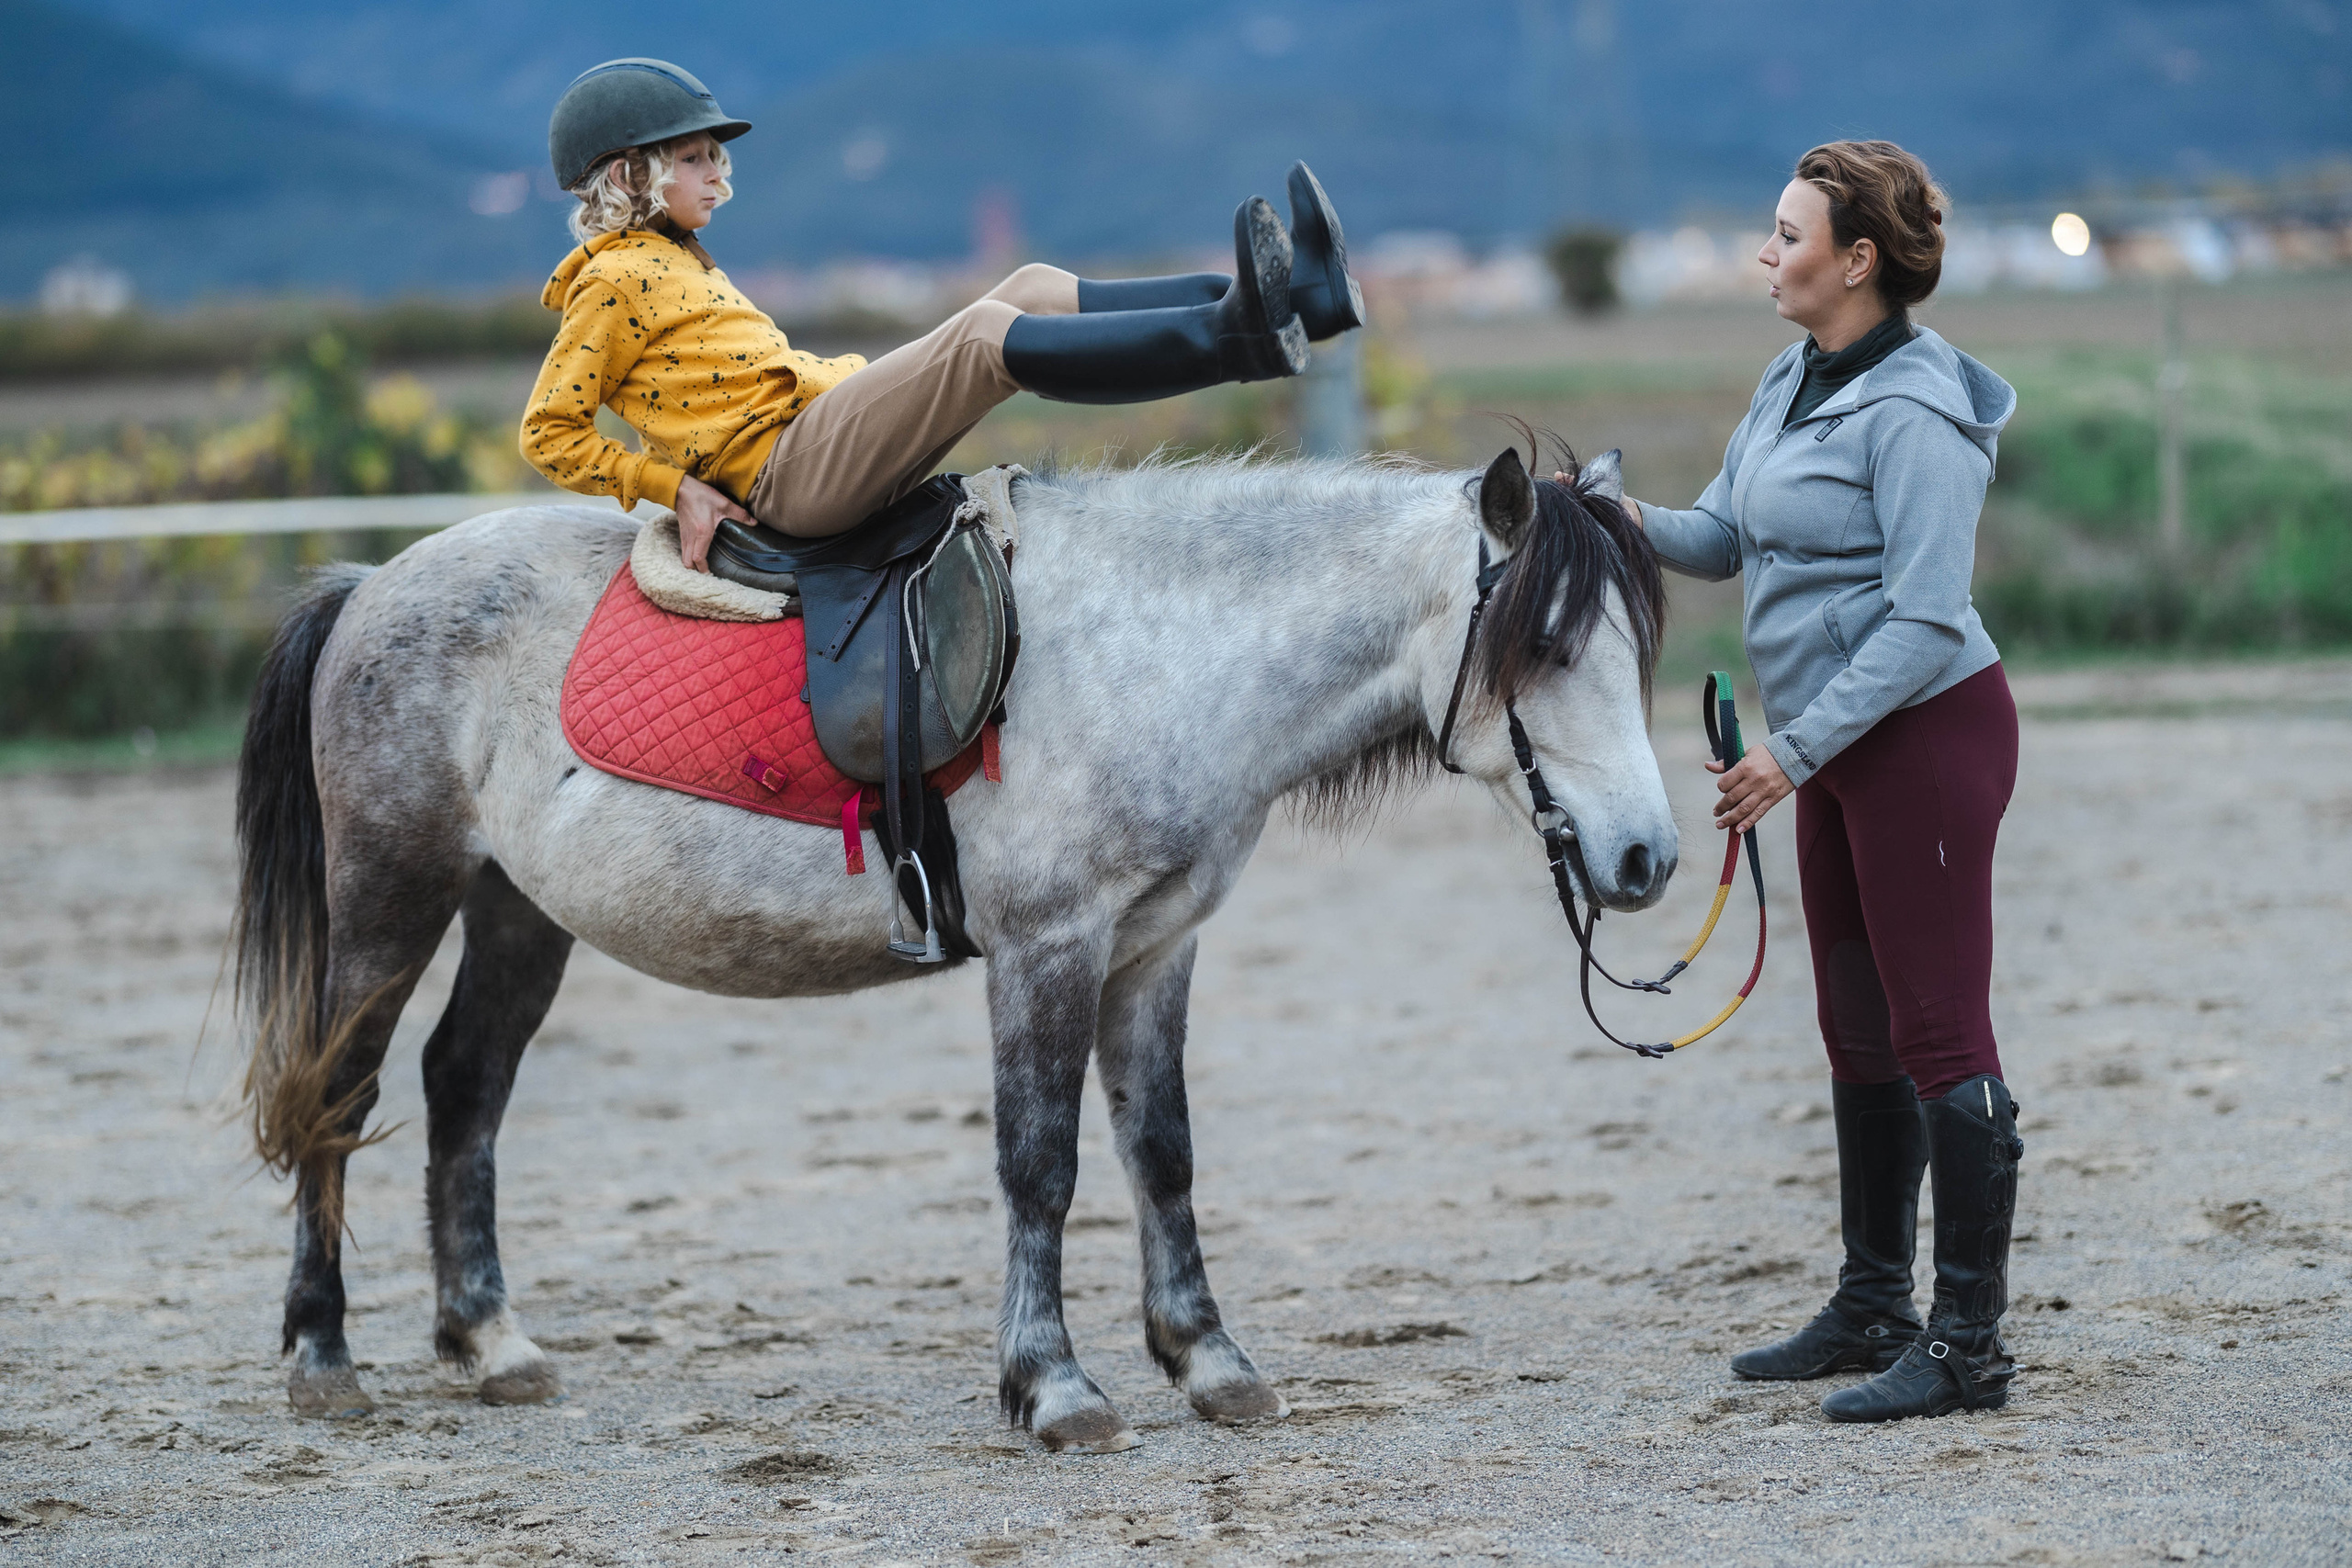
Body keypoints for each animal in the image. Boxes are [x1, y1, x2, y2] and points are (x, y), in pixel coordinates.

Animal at [231, 443, 1676, 1452]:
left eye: (1635, 651)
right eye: (1549, 647)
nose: (1647, 859)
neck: (1159, 656)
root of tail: (373, 586)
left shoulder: (1155, 950)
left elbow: (1162, 1153)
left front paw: (1210, 1363)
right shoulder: (1051, 949)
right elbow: (1041, 1165)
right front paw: (1056, 1385)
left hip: (518, 910)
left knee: (464, 1087)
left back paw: (490, 1343)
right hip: (392, 897)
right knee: (341, 1094)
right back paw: (322, 1360)